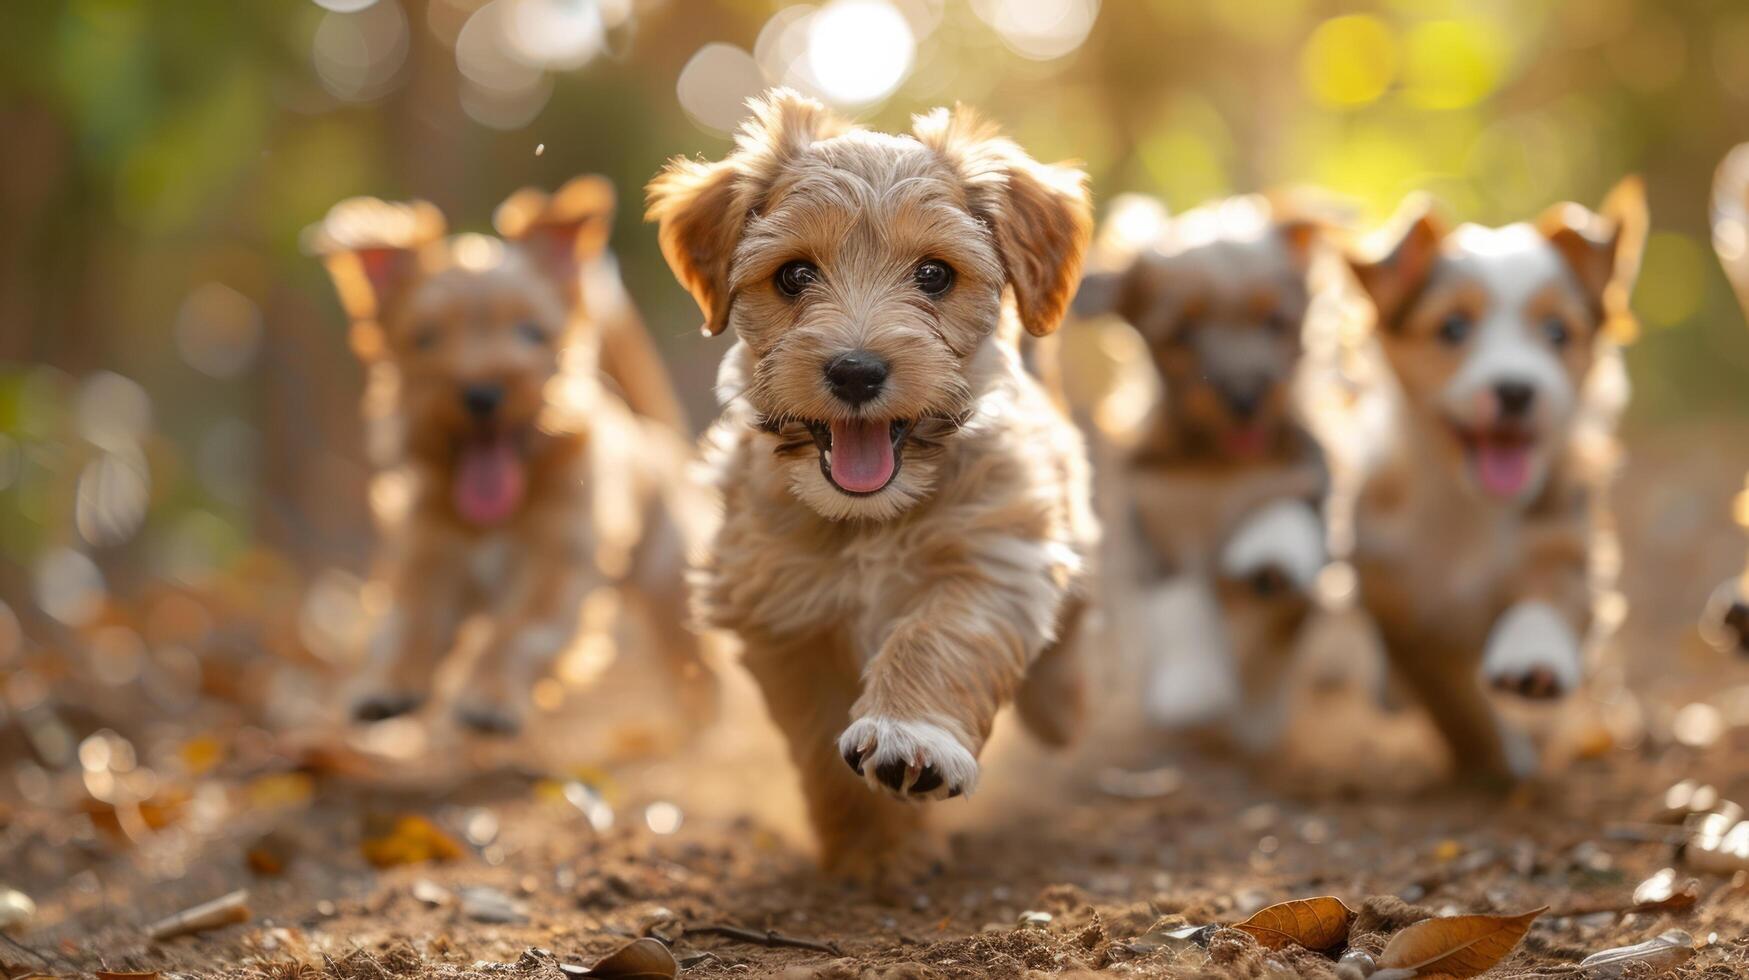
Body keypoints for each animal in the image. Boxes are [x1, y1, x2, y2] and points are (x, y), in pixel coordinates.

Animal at [307, 175, 710, 735]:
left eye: (532, 332)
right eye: (425, 338)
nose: (481, 393)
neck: (496, 518)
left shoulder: (553, 571)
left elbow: (515, 633)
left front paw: (489, 697)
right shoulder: (429, 559)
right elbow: (410, 623)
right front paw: (386, 686)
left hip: (669, 581)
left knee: (692, 655)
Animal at [650, 87, 1098, 875]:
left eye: (934, 275)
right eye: (794, 275)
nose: (856, 372)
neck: (872, 519)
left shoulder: (992, 558)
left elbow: (939, 640)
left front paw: (911, 736)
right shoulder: (786, 618)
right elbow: (819, 740)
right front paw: (874, 851)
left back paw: (1061, 708)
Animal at [1070, 196, 1329, 749]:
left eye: (1275, 320)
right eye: (1181, 333)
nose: (1246, 398)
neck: (1218, 464)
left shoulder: (1310, 487)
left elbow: (1285, 521)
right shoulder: (1156, 527)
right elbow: (1182, 603)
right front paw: (1193, 689)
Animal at [1343, 177, 1644, 780]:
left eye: (1557, 332)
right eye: (1453, 327)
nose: (1516, 390)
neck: (1469, 504)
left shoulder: (1562, 543)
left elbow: (1549, 602)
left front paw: (1534, 659)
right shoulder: (1397, 605)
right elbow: (1452, 698)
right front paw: (1498, 756)